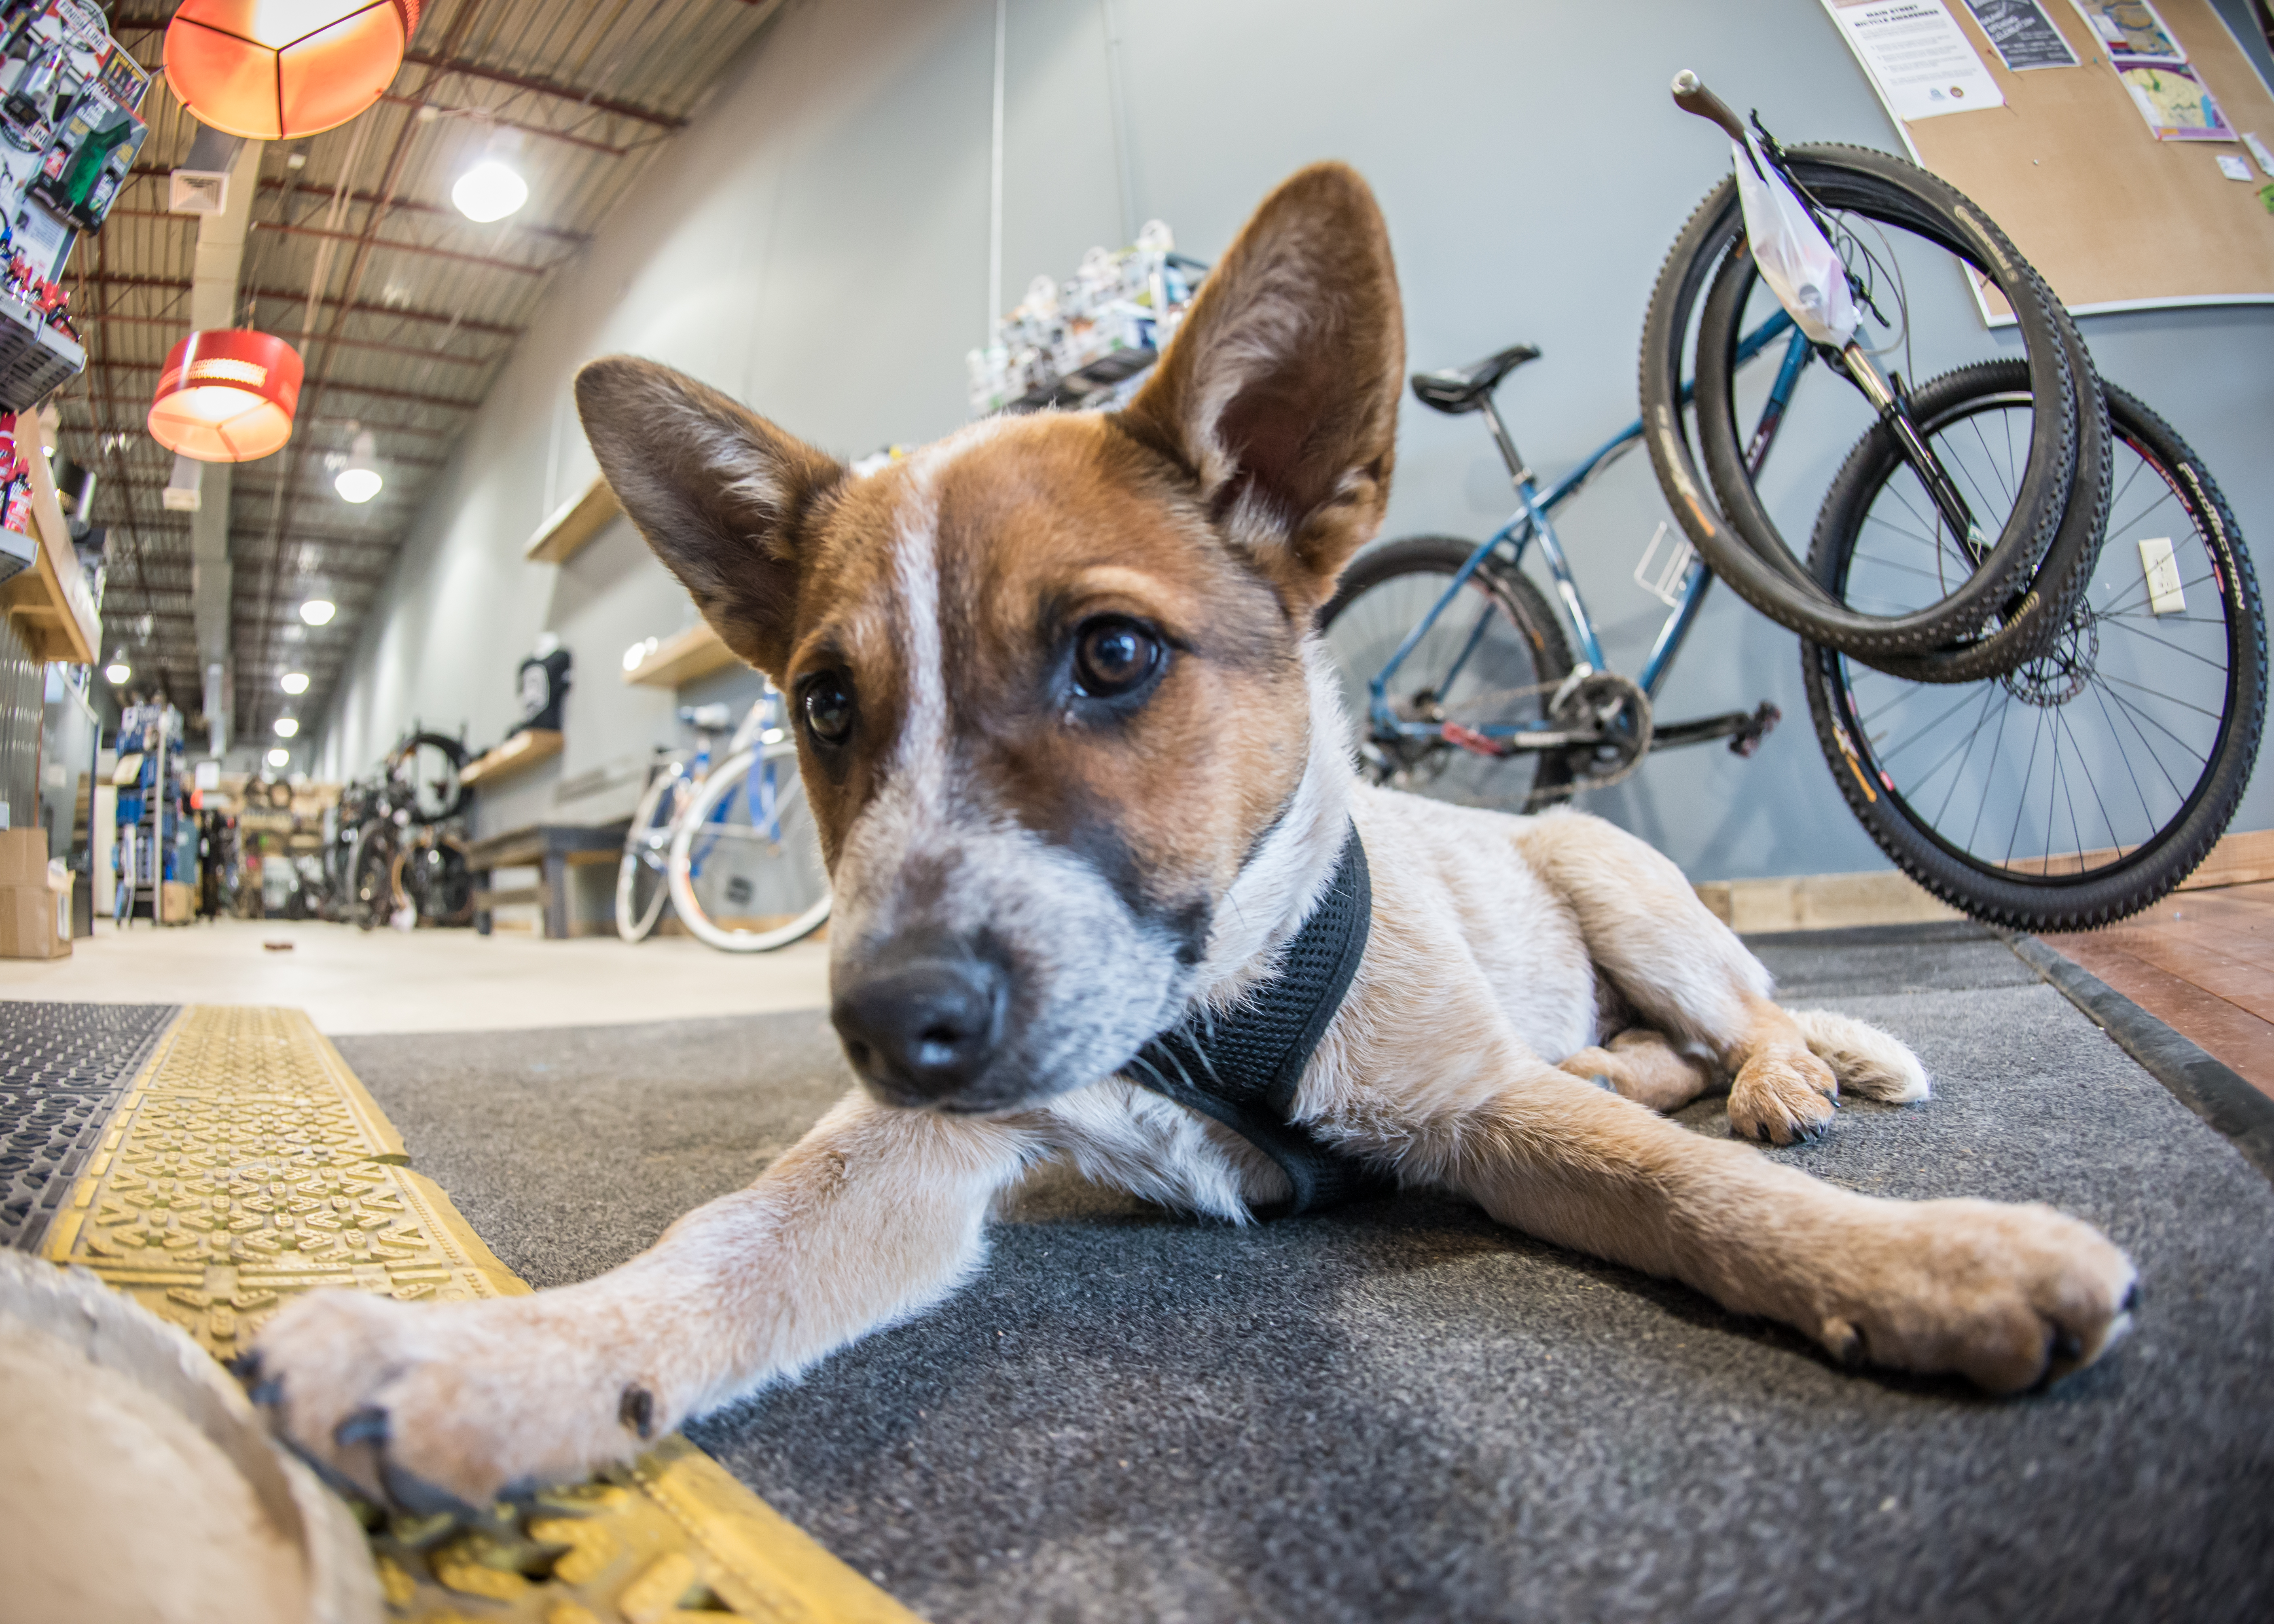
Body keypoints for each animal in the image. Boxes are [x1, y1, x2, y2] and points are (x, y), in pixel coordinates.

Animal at [249, 161, 2128, 1492]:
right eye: (824, 707)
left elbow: (1689, 1193)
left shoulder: (1476, 1103)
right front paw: (499, 1365)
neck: (1208, 1005)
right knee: (1650, 1057)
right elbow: (724, 1252)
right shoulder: (916, 1160)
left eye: (1113, 655)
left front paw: (1929, 1262)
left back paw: (1780, 1069)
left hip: (1611, 878)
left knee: (1736, 1019)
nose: (891, 1029)